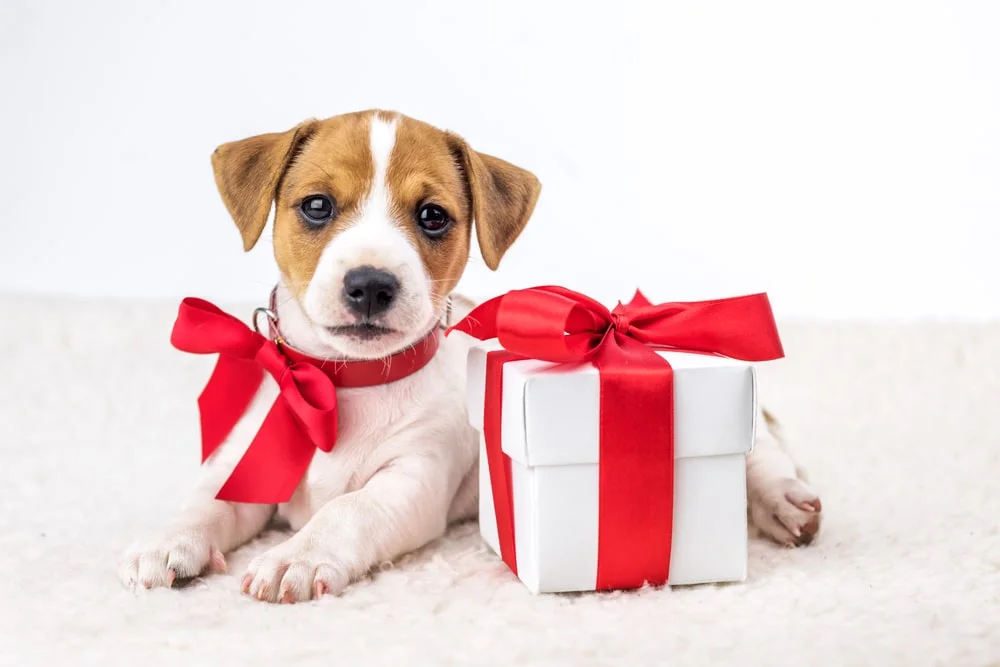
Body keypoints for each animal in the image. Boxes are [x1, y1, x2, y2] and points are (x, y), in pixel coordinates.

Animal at [117, 111, 820, 604]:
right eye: (317, 205)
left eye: (432, 216)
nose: (370, 284)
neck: (343, 383)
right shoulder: (242, 465)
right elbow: (203, 502)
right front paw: (167, 542)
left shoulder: (413, 482)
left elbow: (349, 509)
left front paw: (297, 555)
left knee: (765, 449)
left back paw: (785, 501)